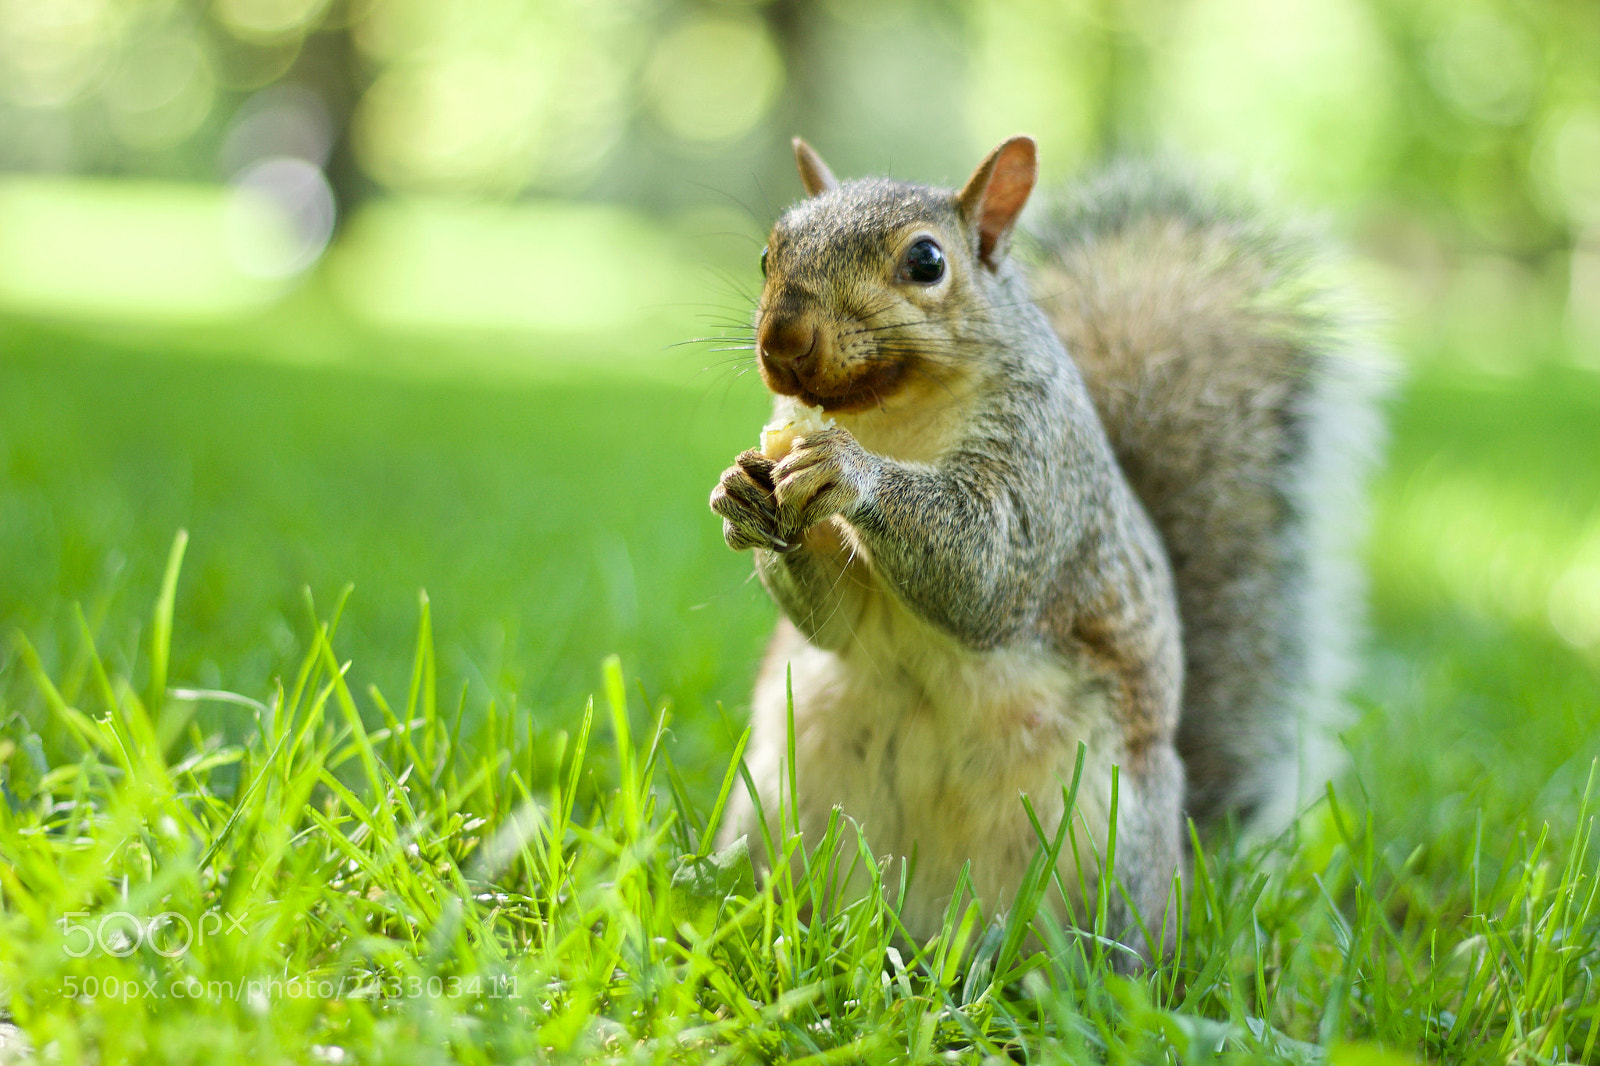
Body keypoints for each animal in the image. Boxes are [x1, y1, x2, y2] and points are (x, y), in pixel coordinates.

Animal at [709, 135, 1376, 961]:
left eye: (926, 261)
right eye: (768, 253)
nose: (782, 340)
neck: (892, 415)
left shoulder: (1043, 466)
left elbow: (988, 572)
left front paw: (850, 471)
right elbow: (832, 621)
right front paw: (739, 493)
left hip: (1105, 845)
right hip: (778, 806)